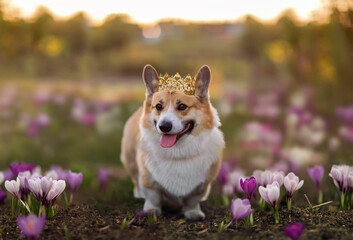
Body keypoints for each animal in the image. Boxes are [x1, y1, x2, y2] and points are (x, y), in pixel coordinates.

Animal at [120, 64, 223, 220]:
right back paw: (139, 194)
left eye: (182, 107)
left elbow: (193, 200)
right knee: (135, 178)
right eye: (158, 106)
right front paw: (151, 210)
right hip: (130, 160)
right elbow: (153, 197)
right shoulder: (149, 180)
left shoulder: (202, 185)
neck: (178, 152)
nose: (164, 126)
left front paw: (193, 213)